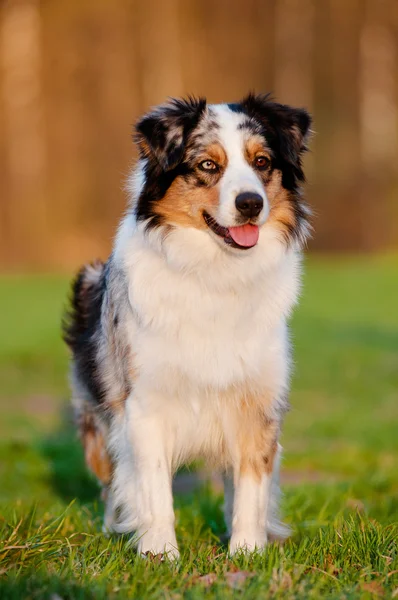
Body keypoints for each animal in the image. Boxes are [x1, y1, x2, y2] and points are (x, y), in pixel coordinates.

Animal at [63, 92, 310, 556]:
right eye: (208, 165)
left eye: (262, 161)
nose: (251, 203)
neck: (214, 275)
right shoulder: (145, 404)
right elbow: (154, 485)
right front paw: (159, 553)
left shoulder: (257, 403)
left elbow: (250, 489)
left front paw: (248, 553)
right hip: (97, 424)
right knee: (111, 480)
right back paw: (114, 528)